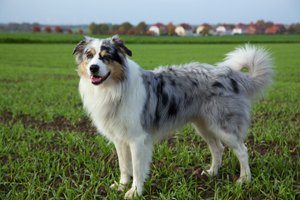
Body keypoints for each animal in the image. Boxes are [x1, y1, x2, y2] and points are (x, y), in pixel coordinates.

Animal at [72, 36, 272, 198]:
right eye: (89, 55)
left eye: (106, 56)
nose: (93, 68)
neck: (115, 88)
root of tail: (231, 75)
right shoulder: (120, 139)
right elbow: (124, 166)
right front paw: (122, 186)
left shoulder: (137, 139)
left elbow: (136, 168)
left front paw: (135, 191)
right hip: (204, 125)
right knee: (217, 148)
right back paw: (212, 173)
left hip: (223, 126)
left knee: (242, 150)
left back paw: (244, 179)